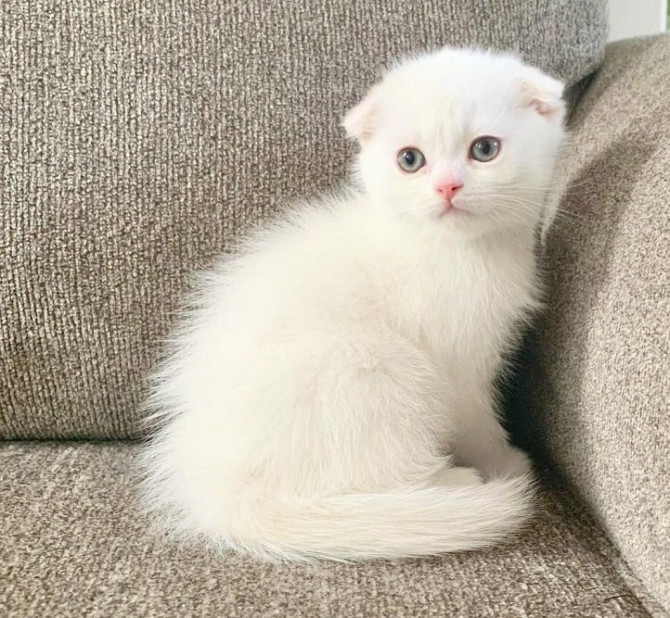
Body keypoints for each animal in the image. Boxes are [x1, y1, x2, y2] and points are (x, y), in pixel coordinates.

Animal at [142, 47, 568, 560]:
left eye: (484, 149)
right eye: (410, 159)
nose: (447, 187)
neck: (459, 252)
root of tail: (220, 491)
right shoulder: (458, 367)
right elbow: (477, 421)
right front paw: (503, 459)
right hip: (376, 367)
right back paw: (453, 485)